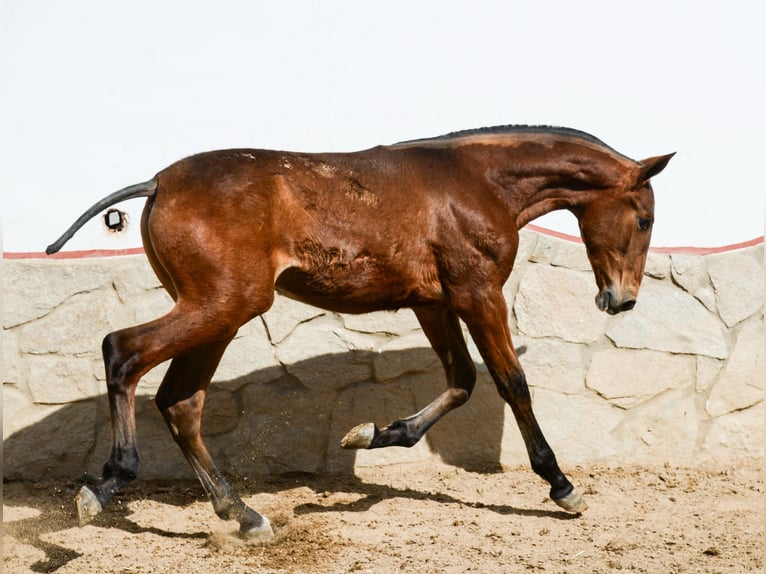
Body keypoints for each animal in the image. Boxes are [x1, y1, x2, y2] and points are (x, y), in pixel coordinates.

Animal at [48, 125, 672, 540]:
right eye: (644, 219)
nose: (621, 300)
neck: (476, 183)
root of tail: (157, 183)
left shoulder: (434, 303)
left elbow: (462, 380)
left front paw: (371, 434)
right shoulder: (478, 294)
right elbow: (510, 382)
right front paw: (562, 486)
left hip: (220, 314)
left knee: (181, 402)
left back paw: (243, 515)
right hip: (223, 305)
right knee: (122, 352)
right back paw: (107, 484)